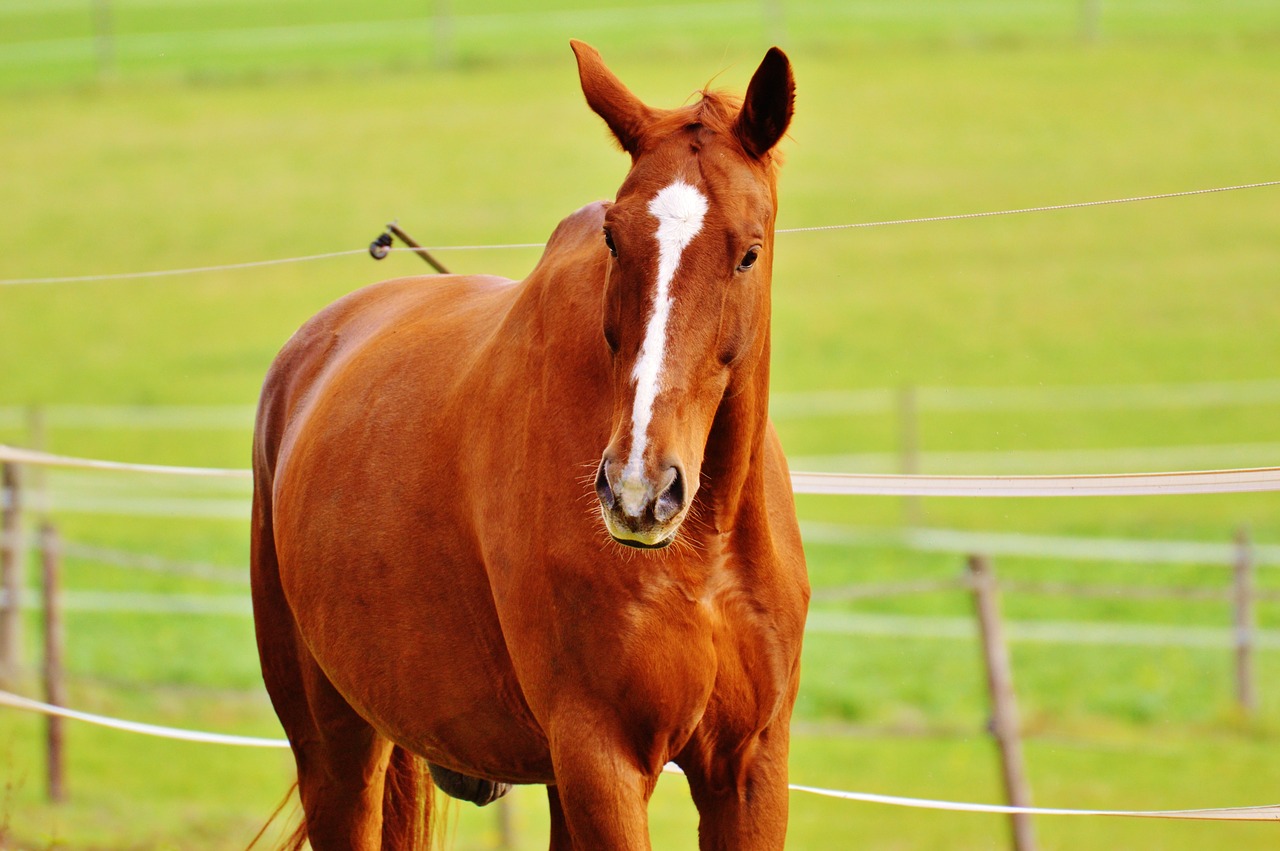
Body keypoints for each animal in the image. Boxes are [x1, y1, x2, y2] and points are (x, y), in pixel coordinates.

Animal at [250, 41, 808, 849]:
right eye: (613, 237)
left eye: (749, 252)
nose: (639, 490)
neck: (705, 551)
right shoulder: (601, 760)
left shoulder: (749, 768)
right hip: (337, 752)